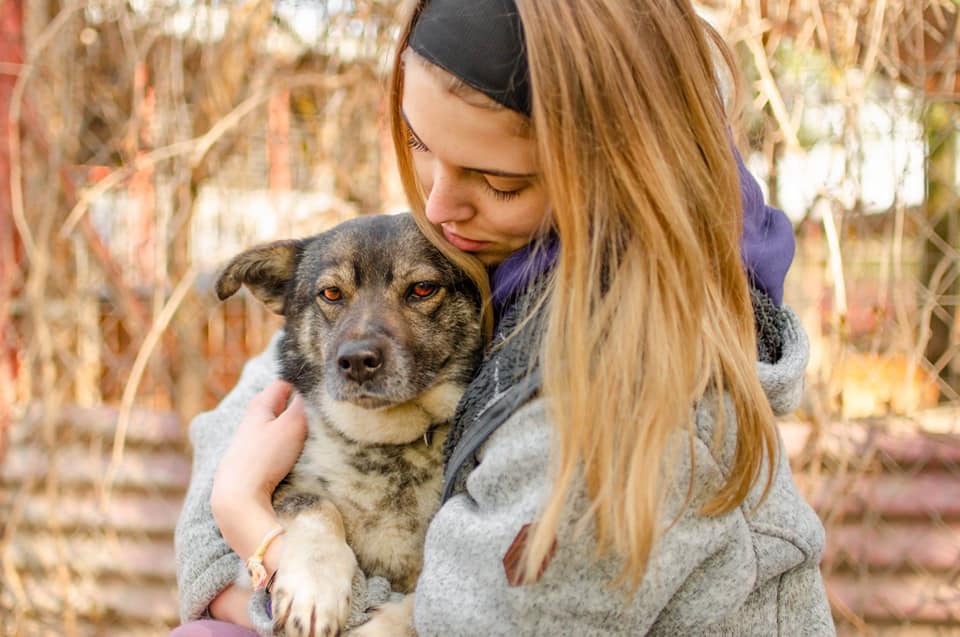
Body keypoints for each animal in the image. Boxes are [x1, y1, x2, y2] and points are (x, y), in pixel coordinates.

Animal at [216, 213, 483, 636]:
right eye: (331, 294)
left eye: (423, 289)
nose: (356, 361)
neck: (386, 442)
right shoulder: (290, 490)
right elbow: (316, 506)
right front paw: (315, 588)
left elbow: (418, 609)